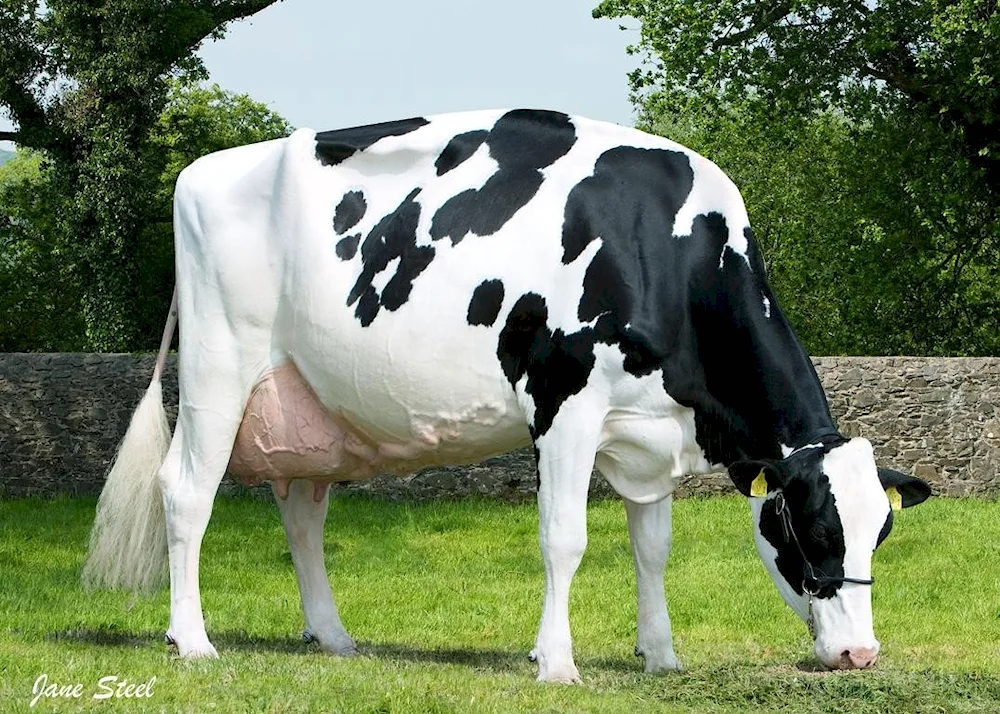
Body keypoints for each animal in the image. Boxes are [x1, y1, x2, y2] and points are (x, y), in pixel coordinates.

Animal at [84, 110, 928, 680]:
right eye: (813, 531)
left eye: (881, 533)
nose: (861, 653)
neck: (665, 249)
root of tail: (203, 170)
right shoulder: (564, 404)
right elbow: (565, 539)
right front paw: (555, 661)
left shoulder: (651, 431)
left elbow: (652, 549)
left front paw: (660, 654)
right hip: (218, 370)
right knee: (185, 492)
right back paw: (192, 640)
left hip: (309, 408)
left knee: (301, 514)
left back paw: (333, 636)